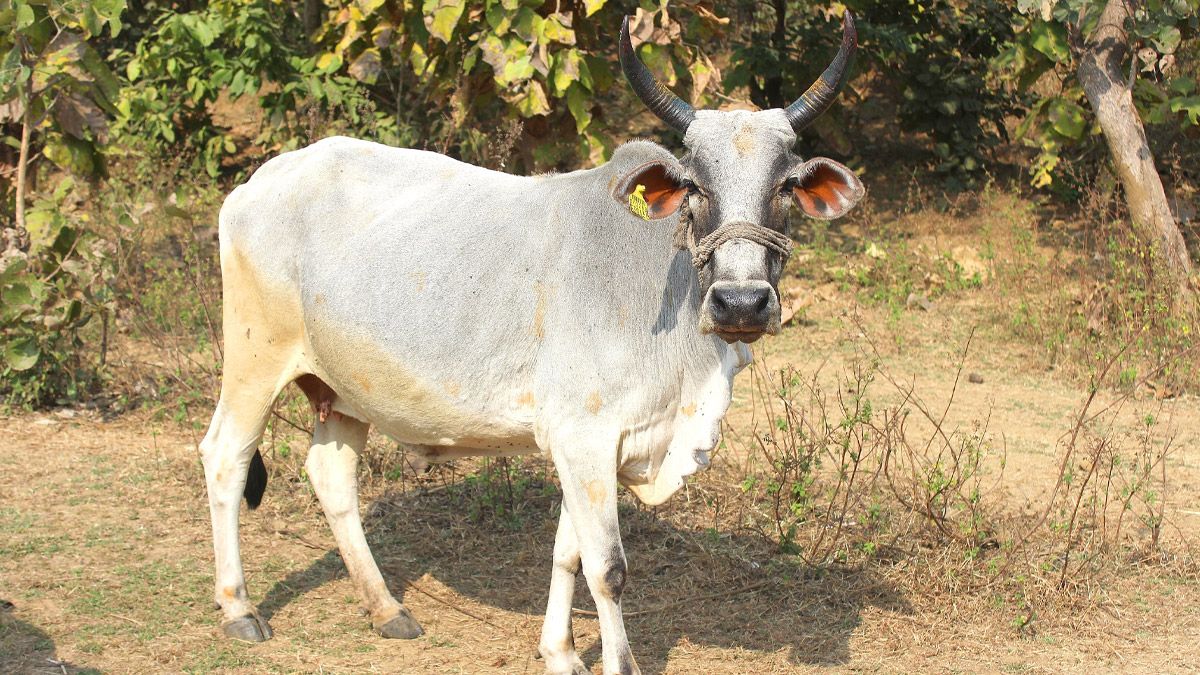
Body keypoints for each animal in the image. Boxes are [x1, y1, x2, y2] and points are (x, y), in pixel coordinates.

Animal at [199, 10, 864, 672]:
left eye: (785, 185)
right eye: (695, 186)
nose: (742, 302)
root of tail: (263, 179)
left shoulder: (590, 445)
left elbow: (569, 554)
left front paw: (561, 653)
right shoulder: (584, 437)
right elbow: (608, 570)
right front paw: (614, 661)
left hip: (342, 387)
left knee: (332, 477)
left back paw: (386, 609)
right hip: (256, 358)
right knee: (226, 457)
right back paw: (239, 609)